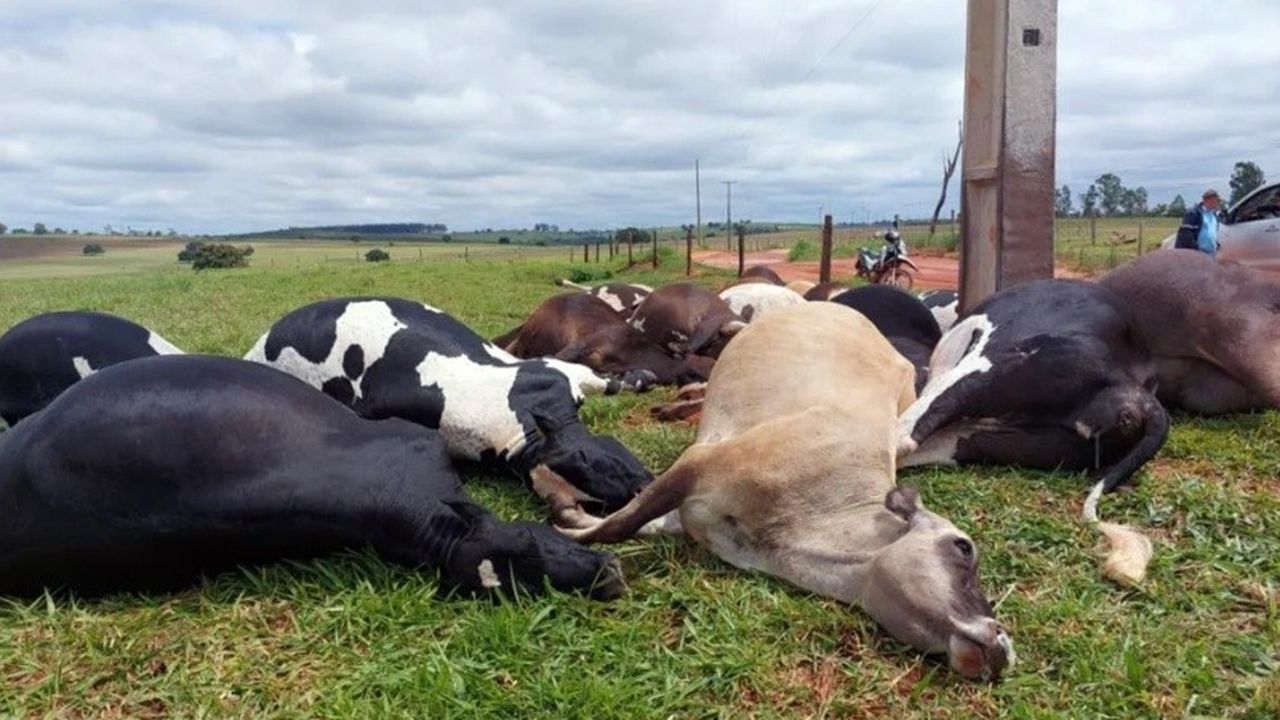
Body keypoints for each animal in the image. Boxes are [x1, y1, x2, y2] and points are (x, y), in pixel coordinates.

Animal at [246, 298, 653, 514]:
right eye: (583, 464)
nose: (643, 487)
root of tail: (260, 341)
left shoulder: (553, 371)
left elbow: (601, 379)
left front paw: (639, 378)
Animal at [555, 303, 1013, 681]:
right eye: (964, 548)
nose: (1004, 643)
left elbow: (635, 521)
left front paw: (571, 518)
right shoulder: (699, 462)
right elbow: (620, 524)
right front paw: (568, 531)